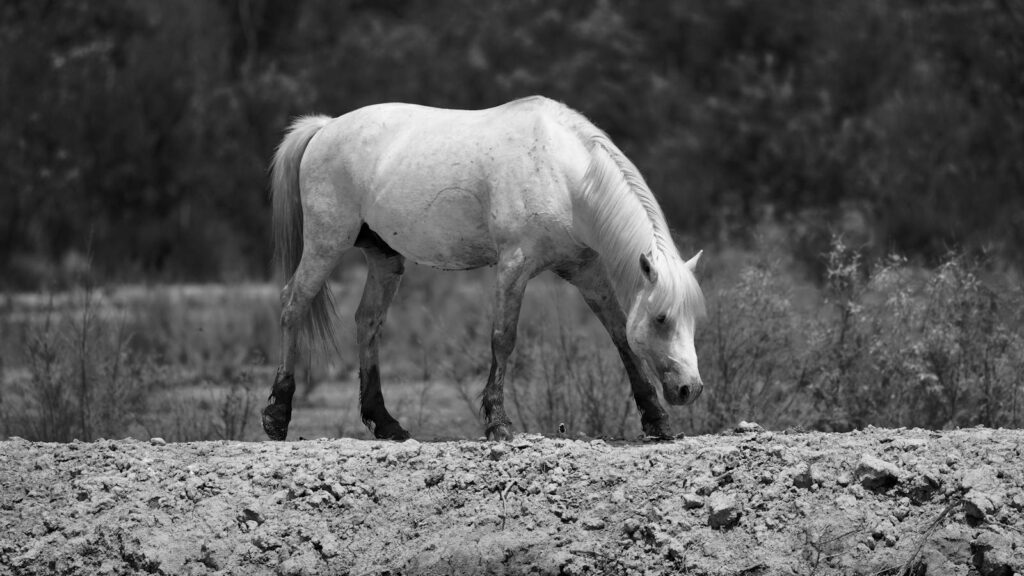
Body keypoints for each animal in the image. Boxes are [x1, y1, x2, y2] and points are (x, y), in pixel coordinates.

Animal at [261, 96, 705, 442]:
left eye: (693, 320)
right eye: (662, 318)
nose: (690, 389)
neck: (564, 175)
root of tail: (325, 128)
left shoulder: (587, 271)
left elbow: (620, 335)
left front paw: (657, 420)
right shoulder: (514, 266)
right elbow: (502, 338)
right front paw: (497, 423)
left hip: (384, 259)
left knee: (367, 322)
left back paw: (386, 424)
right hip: (326, 244)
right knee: (292, 306)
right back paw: (278, 416)